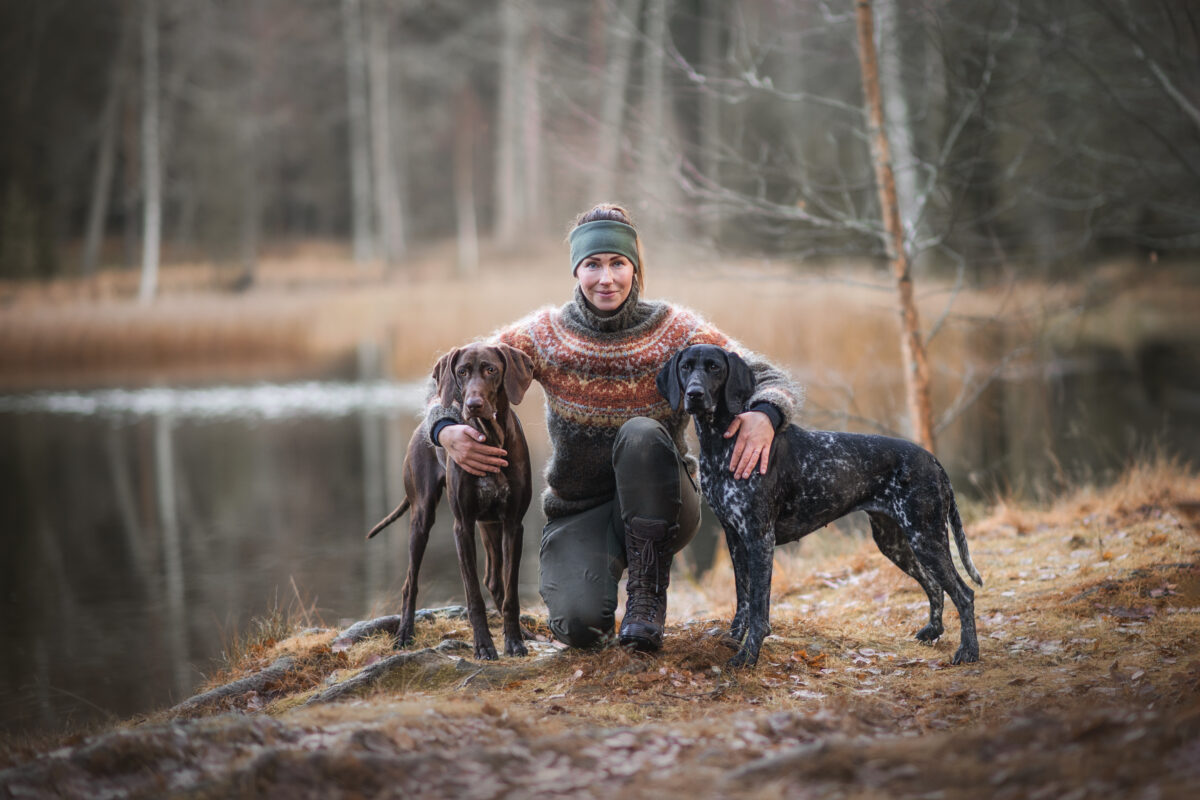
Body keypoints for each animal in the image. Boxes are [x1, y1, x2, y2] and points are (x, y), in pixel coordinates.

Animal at [364, 340, 535, 662]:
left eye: (491, 370)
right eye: (462, 372)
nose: (473, 404)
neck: (490, 436)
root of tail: (422, 426)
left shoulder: (513, 524)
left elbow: (511, 593)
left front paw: (515, 641)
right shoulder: (462, 527)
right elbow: (473, 596)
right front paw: (484, 646)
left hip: (490, 525)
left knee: (495, 582)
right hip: (421, 519)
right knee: (409, 584)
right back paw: (404, 634)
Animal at [657, 345, 984, 671]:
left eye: (714, 367)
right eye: (686, 367)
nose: (694, 394)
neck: (721, 443)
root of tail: (932, 459)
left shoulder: (760, 539)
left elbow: (759, 611)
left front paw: (748, 656)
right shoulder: (735, 539)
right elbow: (743, 600)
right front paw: (732, 639)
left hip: (925, 537)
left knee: (964, 593)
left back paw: (968, 651)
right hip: (895, 542)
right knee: (934, 585)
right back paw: (933, 630)